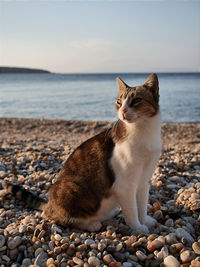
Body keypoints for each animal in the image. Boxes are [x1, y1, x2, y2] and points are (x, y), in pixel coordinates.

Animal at [1, 74, 161, 234]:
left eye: (136, 100)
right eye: (119, 102)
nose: (123, 111)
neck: (143, 131)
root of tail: (50, 204)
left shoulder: (143, 181)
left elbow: (142, 206)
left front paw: (145, 221)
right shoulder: (125, 186)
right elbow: (132, 211)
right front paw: (138, 227)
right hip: (72, 188)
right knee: (54, 216)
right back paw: (91, 223)